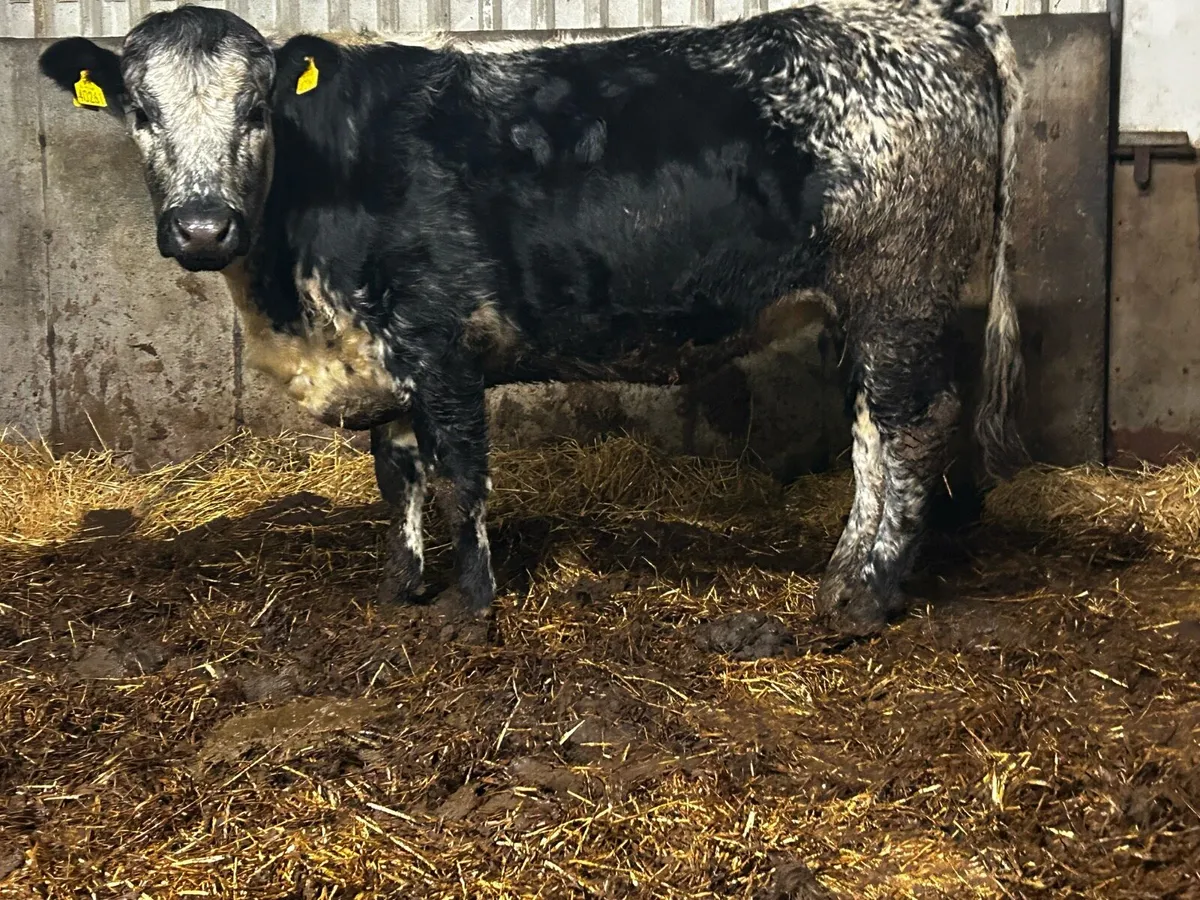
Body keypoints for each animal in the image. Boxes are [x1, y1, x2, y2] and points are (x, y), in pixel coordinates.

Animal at [38, 0, 1025, 637]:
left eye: (255, 110)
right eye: (139, 110)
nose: (204, 227)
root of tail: (934, 17)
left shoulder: (439, 342)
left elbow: (459, 477)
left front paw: (469, 608)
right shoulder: (379, 351)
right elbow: (397, 475)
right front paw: (400, 587)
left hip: (898, 289)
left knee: (908, 431)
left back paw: (861, 599)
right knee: (873, 436)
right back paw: (848, 579)